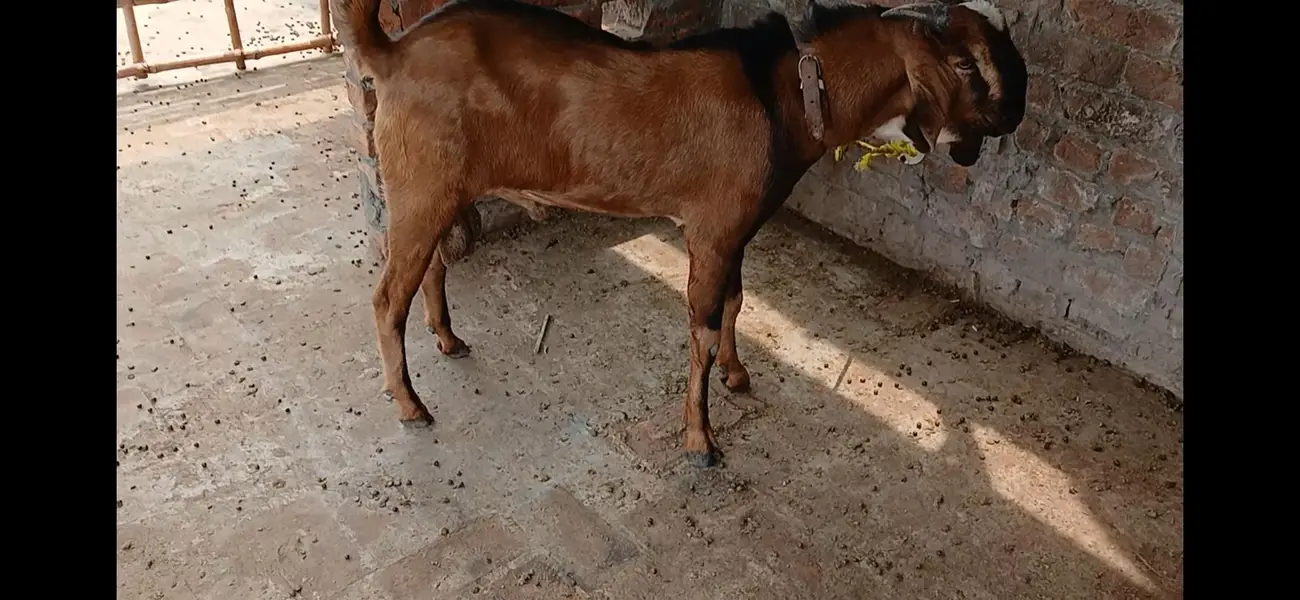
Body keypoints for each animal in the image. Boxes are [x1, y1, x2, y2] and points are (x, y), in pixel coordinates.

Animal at [331, 0, 1028, 467]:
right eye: (966, 65)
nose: (1011, 117)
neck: (780, 94)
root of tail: (392, 52)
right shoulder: (712, 228)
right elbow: (704, 327)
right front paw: (700, 442)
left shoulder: (740, 224)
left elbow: (737, 302)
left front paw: (738, 376)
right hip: (421, 185)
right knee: (386, 297)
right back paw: (410, 405)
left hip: (439, 188)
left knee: (432, 266)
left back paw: (447, 339)